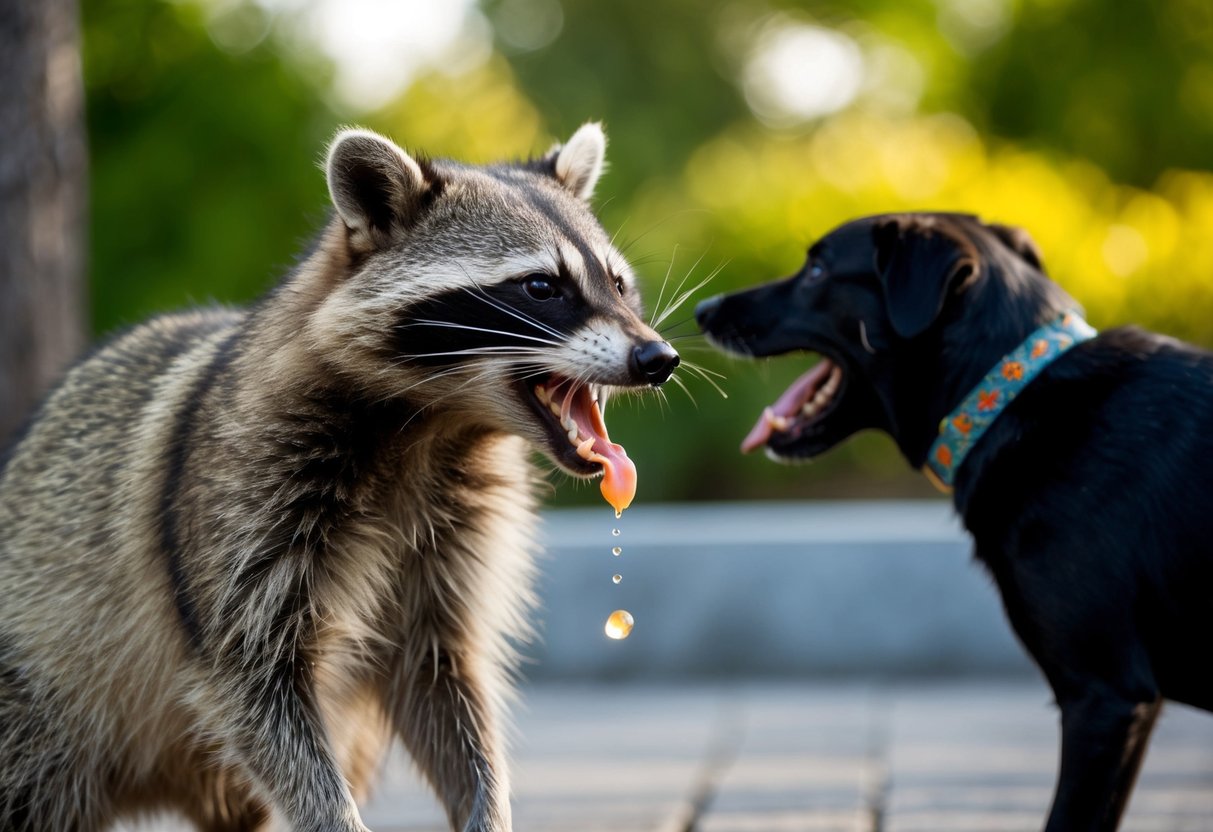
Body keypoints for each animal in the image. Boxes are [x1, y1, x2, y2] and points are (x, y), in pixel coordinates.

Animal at [0, 123, 679, 832]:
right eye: (541, 287)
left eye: (618, 284)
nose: (658, 357)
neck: (436, 427)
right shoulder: (242, 507)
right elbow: (257, 689)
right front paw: (337, 817)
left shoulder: (452, 539)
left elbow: (442, 678)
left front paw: (489, 807)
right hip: (37, 708)